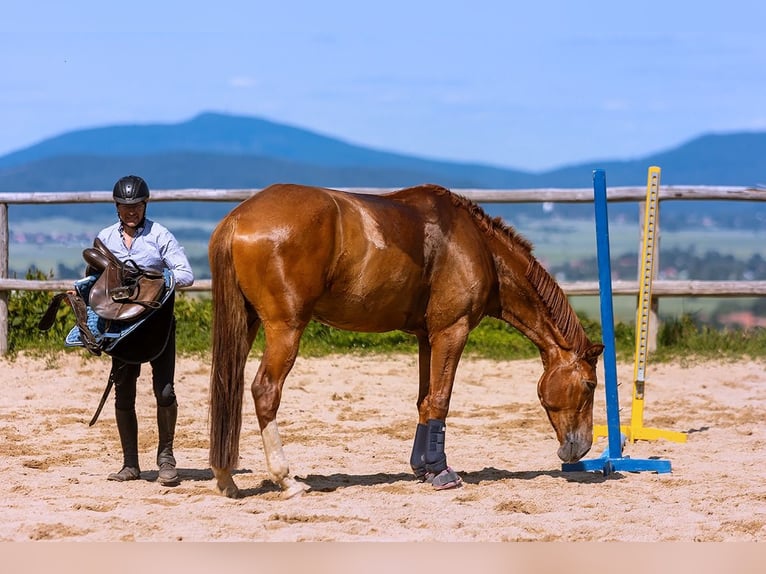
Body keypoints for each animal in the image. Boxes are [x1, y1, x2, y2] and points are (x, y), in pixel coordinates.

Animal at [207, 183, 604, 498]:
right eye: (589, 384)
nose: (580, 449)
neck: (477, 246)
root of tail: (237, 219)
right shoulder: (452, 331)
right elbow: (441, 400)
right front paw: (441, 472)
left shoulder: (427, 338)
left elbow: (424, 401)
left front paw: (423, 468)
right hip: (286, 328)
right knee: (265, 391)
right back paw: (286, 479)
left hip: (246, 323)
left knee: (229, 388)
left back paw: (226, 478)